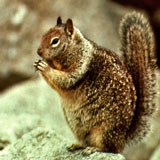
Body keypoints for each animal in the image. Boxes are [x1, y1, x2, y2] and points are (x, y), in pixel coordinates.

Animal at [33, 11, 156, 153]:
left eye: (55, 41)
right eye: (44, 34)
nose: (38, 51)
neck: (76, 49)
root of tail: (122, 139)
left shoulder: (79, 68)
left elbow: (64, 80)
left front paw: (45, 67)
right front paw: (38, 63)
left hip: (104, 131)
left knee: (108, 148)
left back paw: (93, 149)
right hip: (77, 127)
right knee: (85, 141)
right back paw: (76, 145)